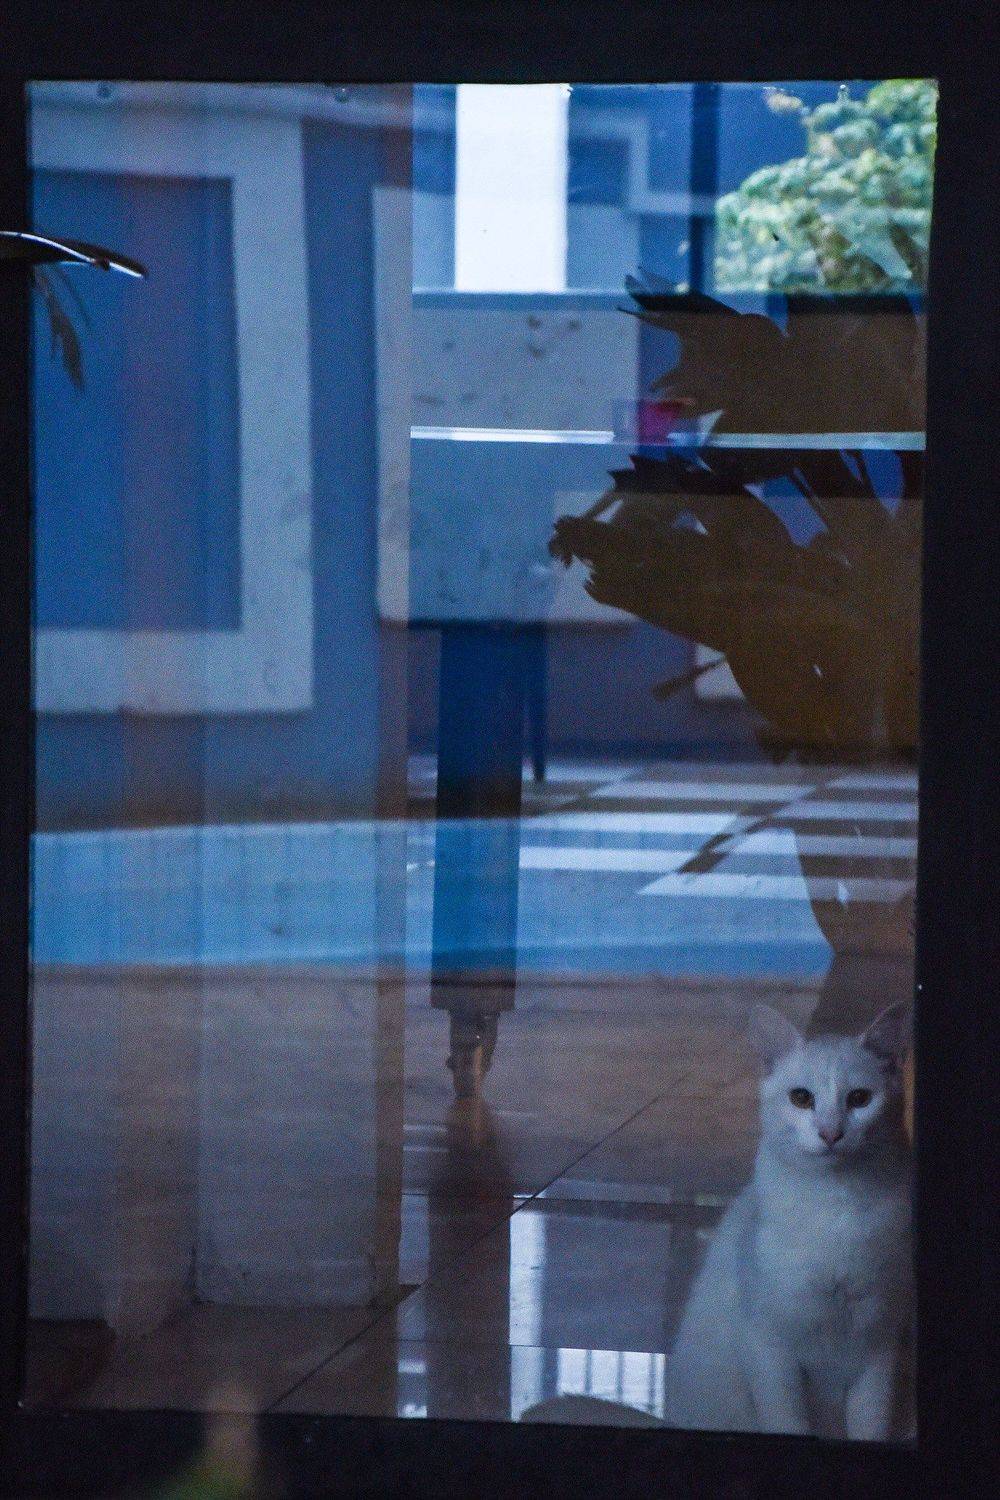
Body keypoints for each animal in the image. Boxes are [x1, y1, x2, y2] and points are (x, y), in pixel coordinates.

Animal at [665, 1001, 914, 1440]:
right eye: (801, 1098)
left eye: (860, 1098)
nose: (831, 1133)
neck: (836, 1209)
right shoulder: (771, 1351)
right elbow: (788, 1422)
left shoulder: (879, 1348)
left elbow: (870, 1424)